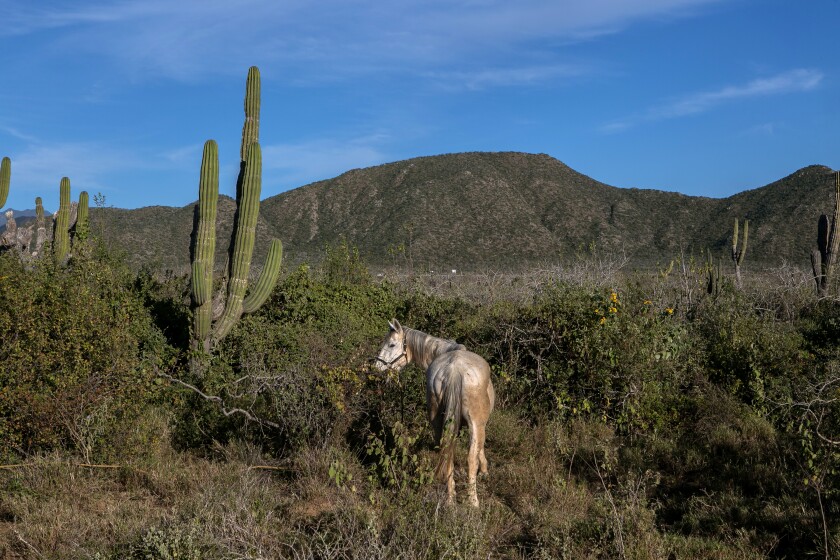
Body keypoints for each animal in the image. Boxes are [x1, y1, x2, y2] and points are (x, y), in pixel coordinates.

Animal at [372, 320, 492, 508]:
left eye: (391, 344)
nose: (376, 368)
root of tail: (454, 369)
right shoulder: (480, 424)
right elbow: (479, 449)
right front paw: (484, 471)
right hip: (474, 423)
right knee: (470, 458)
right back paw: (473, 501)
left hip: (437, 421)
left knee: (445, 452)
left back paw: (450, 499)